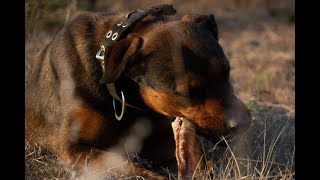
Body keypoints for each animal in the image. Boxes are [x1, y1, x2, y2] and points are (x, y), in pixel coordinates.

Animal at [25, 3, 251, 179]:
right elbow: (119, 161)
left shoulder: (160, 141)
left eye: (227, 71)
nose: (243, 123)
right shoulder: (72, 147)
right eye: (187, 92)